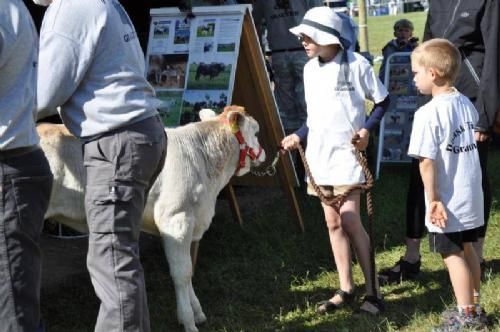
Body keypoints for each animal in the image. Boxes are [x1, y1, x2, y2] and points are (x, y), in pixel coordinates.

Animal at [38, 107, 266, 332]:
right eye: (256, 132)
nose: (264, 153)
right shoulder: (176, 221)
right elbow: (181, 272)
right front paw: (188, 321)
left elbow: (188, 270)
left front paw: (197, 312)